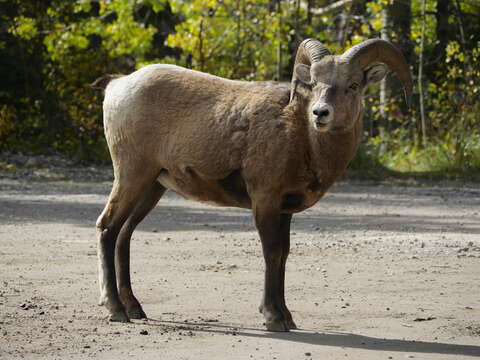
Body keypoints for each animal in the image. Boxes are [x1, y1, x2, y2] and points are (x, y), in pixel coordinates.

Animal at [92, 38, 410, 330]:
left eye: (353, 84)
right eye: (314, 82)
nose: (320, 113)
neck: (302, 137)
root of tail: (117, 85)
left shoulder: (284, 210)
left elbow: (284, 255)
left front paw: (288, 317)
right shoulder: (265, 201)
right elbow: (272, 253)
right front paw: (273, 319)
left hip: (152, 186)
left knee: (123, 235)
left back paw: (135, 308)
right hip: (132, 175)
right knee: (107, 227)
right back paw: (116, 310)